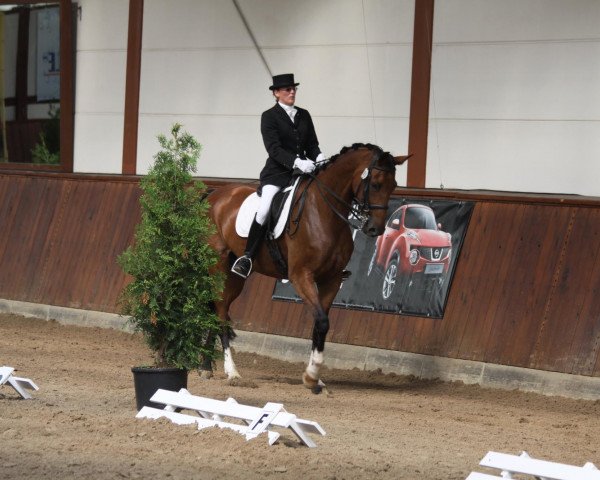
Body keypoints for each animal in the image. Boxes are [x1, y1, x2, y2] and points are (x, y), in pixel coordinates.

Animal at [205, 143, 408, 394]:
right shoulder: (301, 276)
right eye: (377, 184)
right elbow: (321, 321)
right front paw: (311, 376)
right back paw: (232, 373)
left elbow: (320, 324)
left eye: (394, 185)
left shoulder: (331, 279)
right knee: (221, 314)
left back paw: (206, 368)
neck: (323, 212)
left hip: (235, 278)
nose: (375, 229)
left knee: (217, 310)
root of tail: (214, 195)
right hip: (218, 267)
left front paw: (315, 378)